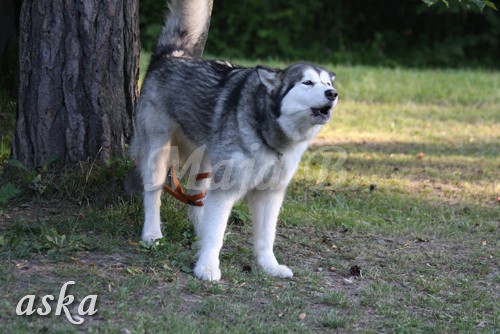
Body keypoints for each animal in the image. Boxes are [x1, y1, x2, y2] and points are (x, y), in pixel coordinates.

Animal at [131, 0, 338, 282]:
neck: (269, 134)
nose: (332, 93)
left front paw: (269, 266)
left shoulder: (270, 192)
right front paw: (207, 267)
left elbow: (265, 236)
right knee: (154, 192)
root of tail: (172, 55)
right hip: (159, 151)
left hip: (206, 160)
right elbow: (216, 232)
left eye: (326, 82)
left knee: (196, 200)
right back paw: (152, 233)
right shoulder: (227, 187)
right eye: (307, 82)